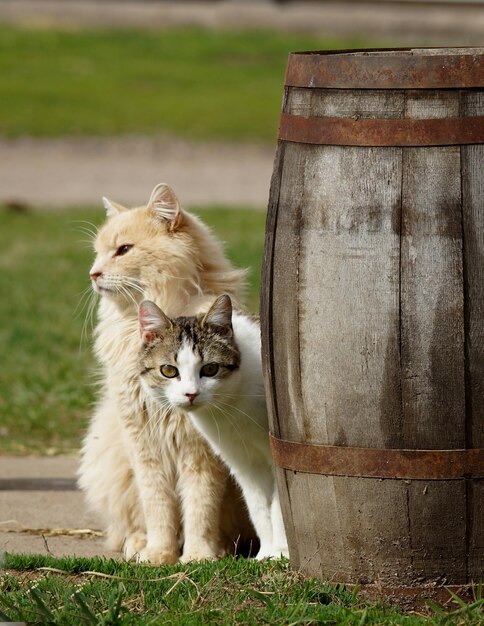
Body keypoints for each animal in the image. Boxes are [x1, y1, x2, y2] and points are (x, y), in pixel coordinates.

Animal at [76, 180, 258, 560]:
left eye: (123, 250)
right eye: (99, 253)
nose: (93, 274)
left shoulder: (200, 450)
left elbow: (201, 506)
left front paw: (199, 556)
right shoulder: (142, 443)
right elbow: (158, 507)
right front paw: (159, 555)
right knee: (131, 524)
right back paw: (138, 545)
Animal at [138, 294, 290, 560]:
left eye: (210, 368)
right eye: (168, 371)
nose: (191, 394)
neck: (232, 403)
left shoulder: (276, 453)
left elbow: (279, 507)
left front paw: (282, 554)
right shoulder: (243, 460)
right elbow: (259, 507)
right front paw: (266, 555)